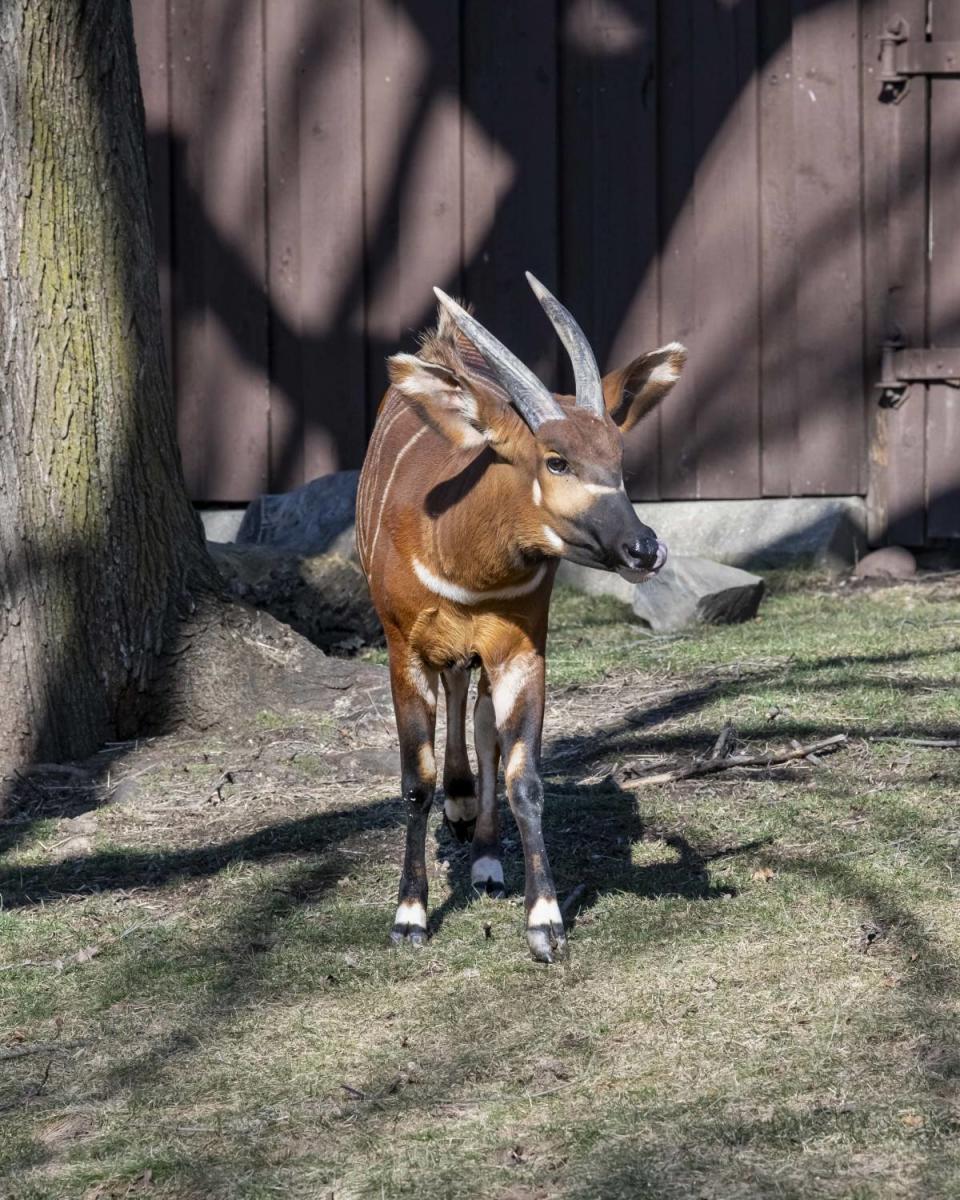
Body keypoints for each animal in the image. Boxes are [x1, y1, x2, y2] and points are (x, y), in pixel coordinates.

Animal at [355, 274, 686, 964]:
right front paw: (409, 916)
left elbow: (524, 776)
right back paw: (457, 813)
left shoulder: (521, 647)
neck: (462, 560)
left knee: (481, 720)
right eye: (555, 459)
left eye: (619, 456)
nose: (644, 548)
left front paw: (545, 920)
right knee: (458, 700)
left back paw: (483, 856)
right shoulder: (403, 647)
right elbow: (415, 780)